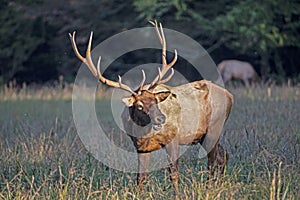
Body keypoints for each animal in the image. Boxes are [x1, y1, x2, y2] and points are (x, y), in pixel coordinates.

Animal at [69, 21, 234, 195]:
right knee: (223, 155)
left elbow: (174, 173)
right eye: (140, 105)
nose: (161, 118)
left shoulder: (173, 139)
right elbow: (140, 177)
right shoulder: (141, 148)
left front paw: (178, 195)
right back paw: (218, 185)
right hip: (203, 135)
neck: (144, 133)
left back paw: (210, 188)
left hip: (214, 128)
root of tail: (230, 96)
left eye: (155, 100)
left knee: (213, 160)